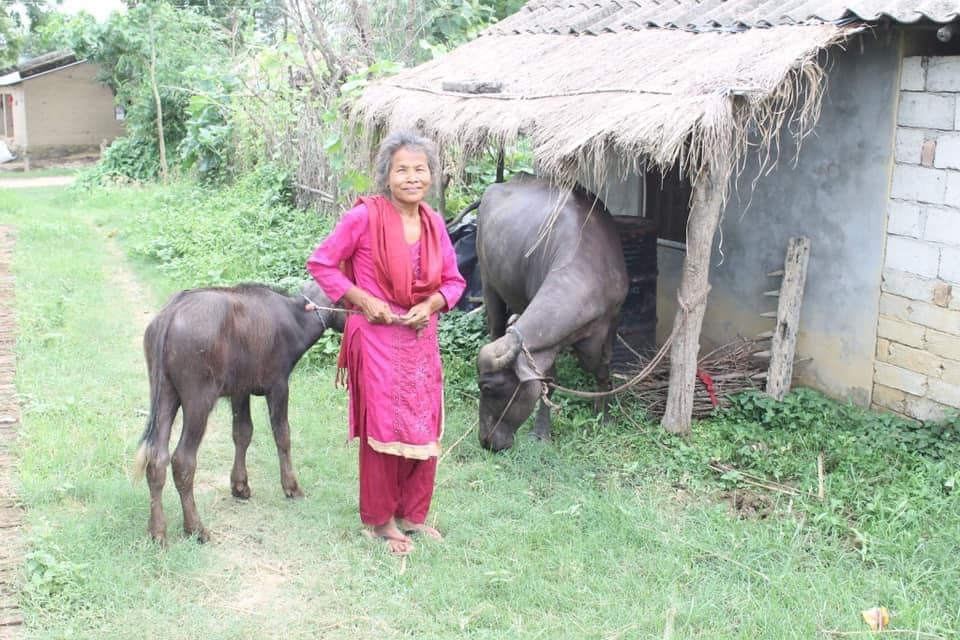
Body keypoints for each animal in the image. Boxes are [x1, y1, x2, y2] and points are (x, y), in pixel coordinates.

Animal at [133, 281, 343, 543]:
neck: (298, 320)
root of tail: (169, 315)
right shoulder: (278, 385)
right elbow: (282, 435)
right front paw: (291, 487)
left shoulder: (240, 390)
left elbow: (242, 433)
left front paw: (240, 486)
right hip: (198, 398)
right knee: (182, 459)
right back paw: (196, 528)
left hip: (164, 393)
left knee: (156, 457)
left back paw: (157, 531)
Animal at [476, 175, 629, 451]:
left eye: (488, 387)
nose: (486, 441)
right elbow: (549, 381)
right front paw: (542, 431)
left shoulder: (613, 319)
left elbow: (602, 367)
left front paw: (604, 414)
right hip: (488, 282)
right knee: (495, 327)